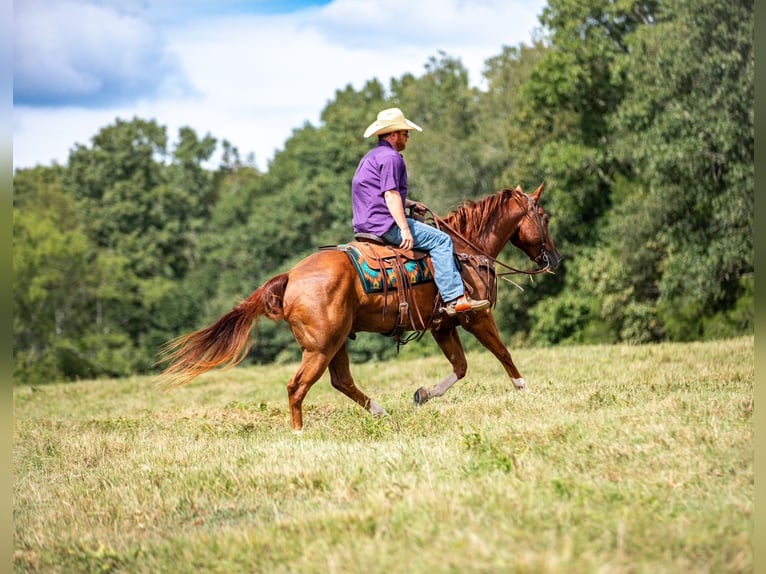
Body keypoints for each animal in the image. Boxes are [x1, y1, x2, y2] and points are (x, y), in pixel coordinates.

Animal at [157, 183, 560, 431]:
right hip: (320, 348)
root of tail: (290, 277)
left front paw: (423, 394)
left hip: (335, 343)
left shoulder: (443, 326)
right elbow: (503, 353)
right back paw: (299, 434)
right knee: (297, 387)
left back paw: (379, 411)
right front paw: (525, 389)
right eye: (544, 216)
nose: (554, 257)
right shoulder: (477, 315)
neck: (465, 250)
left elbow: (460, 368)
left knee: (342, 382)